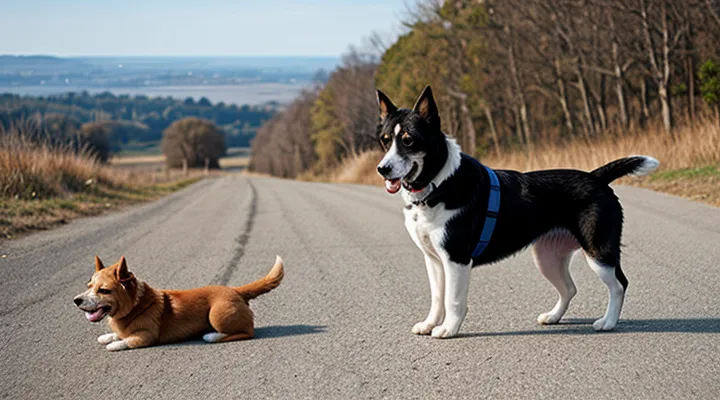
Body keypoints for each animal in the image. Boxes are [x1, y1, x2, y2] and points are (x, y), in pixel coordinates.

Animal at [74, 255, 284, 352]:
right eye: (89, 286)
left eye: (104, 290)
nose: (76, 301)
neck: (135, 305)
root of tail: (236, 290)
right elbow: (117, 335)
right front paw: (108, 337)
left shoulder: (145, 337)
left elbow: (126, 341)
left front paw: (114, 344)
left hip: (216, 315)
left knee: (247, 331)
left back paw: (212, 336)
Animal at [374, 86, 660, 340]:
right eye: (385, 141)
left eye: (408, 140)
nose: (382, 169)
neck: (439, 184)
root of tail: (596, 177)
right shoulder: (433, 260)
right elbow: (436, 297)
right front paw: (429, 324)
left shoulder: (456, 259)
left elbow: (452, 300)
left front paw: (448, 329)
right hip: (547, 258)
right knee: (569, 288)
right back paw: (553, 316)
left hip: (598, 252)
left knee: (619, 285)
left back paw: (608, 322)